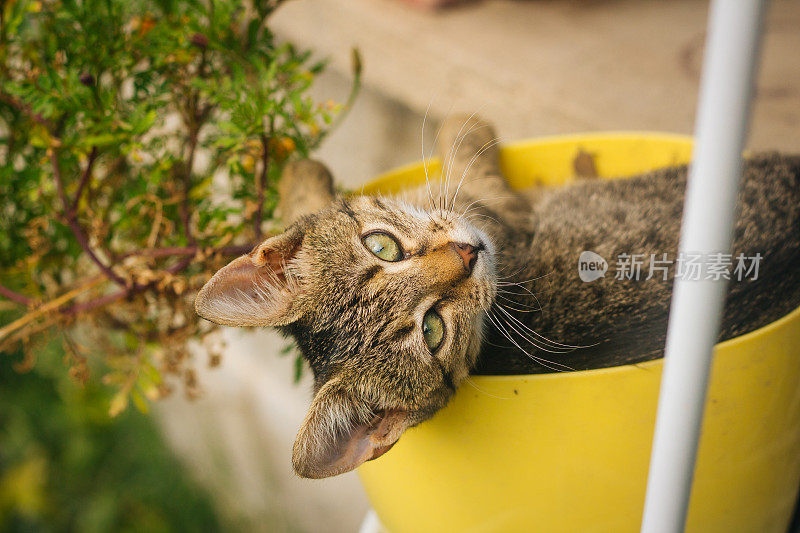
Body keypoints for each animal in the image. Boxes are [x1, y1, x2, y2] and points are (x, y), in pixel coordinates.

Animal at [194, 115, 800, 478]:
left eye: (382, 245)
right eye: (434, 330)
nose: (467, 254)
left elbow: (312, 205)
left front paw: (300, 173)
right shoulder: (497, 204)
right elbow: (473, 159)